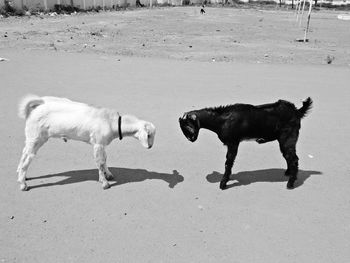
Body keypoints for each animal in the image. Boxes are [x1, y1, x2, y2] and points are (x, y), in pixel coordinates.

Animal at [16, 95, 156, 192]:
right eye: (149, 135)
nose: (150, 146)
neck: (111, 121)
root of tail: (38, 106)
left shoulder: (102, 143)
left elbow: (105, 159)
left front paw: (109, 175)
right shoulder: (97, 144)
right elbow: (100, 162)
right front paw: (104, 183)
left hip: (31, 137)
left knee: (24, 153)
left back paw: (21, 176)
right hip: (37, 137)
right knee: (28, 158)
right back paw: (23, 184)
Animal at [179, 98, 314, 191]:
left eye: (188, 126)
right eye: (183, 128)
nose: (191, 139)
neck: (221, 120)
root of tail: (297, 111)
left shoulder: (233, 142)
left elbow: (228, 162)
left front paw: (223, 184)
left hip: (288, 137)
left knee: (293, 159)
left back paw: (290, 184)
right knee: (289, 157)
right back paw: (288, 173)